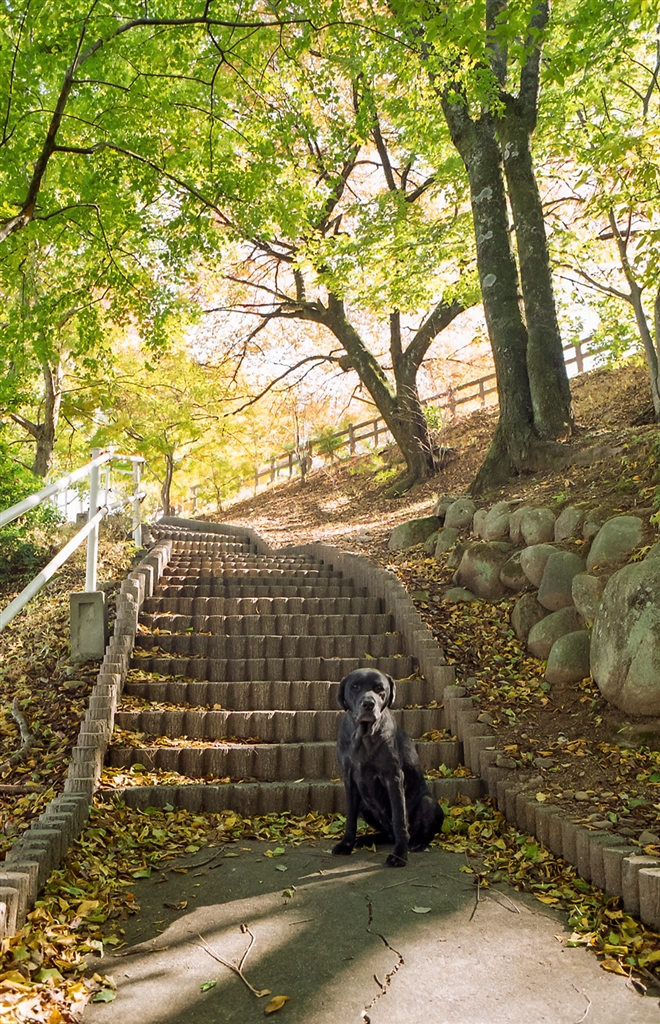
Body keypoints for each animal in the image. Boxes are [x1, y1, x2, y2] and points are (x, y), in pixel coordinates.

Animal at [332, 668, 444, 867]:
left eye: (379, 688)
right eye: (355, 687)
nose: (368, 704)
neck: (364, 737)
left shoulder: (393, 777)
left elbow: (399, 818)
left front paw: (399, 855)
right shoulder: (349, 778)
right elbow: (350, 817)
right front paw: (346, 844)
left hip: (428, 803)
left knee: (417, 831)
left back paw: (417, 843)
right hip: (365, 805)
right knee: (387, 834)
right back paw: (367, 838)